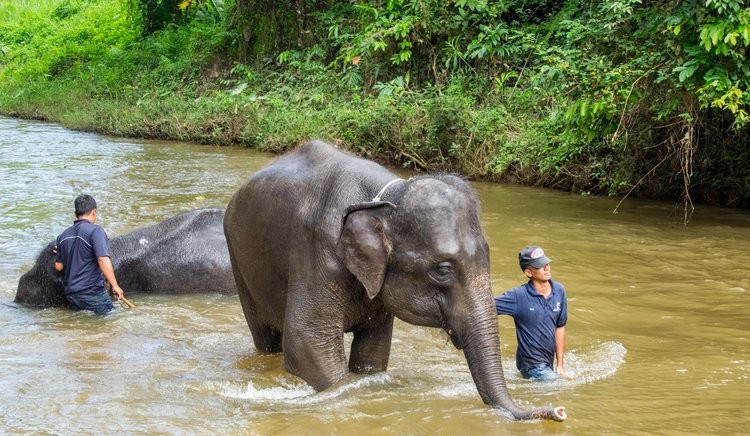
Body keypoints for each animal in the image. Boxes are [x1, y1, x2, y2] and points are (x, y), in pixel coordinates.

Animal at [223, 140, 566, 421]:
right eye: (442, 269)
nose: (559, 411)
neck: (385, 198)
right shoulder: (315, 253)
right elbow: (307, 341)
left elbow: (373, 351)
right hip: (239, 262)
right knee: (268, 339)